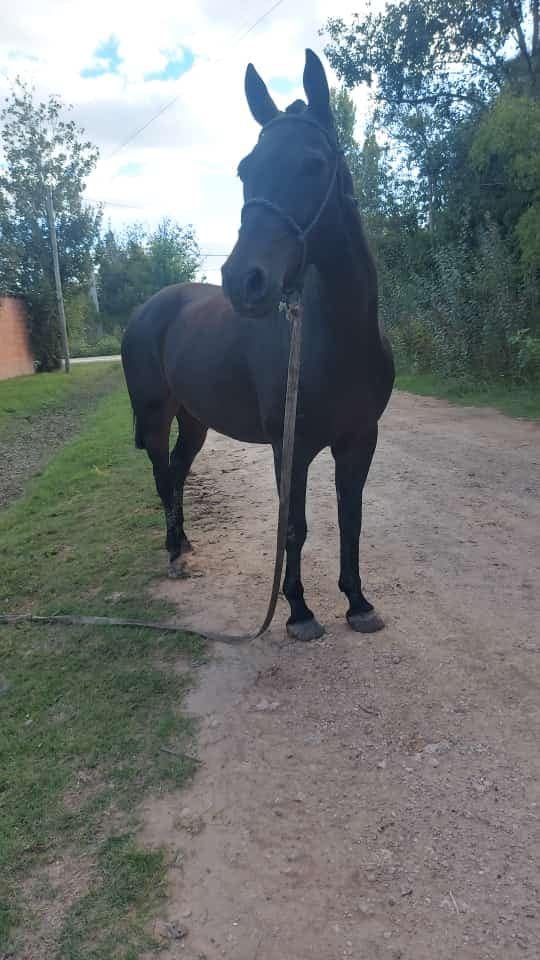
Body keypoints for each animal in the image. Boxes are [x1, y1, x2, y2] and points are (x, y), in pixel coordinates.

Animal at [121, 49, 394, 641]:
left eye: (313, 164)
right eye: (246, 170)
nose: (242, 280)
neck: (336, 338)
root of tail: (147, 311)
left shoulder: (360, 440)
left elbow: (352, 520)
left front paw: (357, 602)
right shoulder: (290, 446)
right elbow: (293, 525)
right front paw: (299, 612)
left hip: (195, 419)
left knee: (177, 471)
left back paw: (186, 543)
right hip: (154, 415)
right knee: (160, 474)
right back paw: (173, 552)